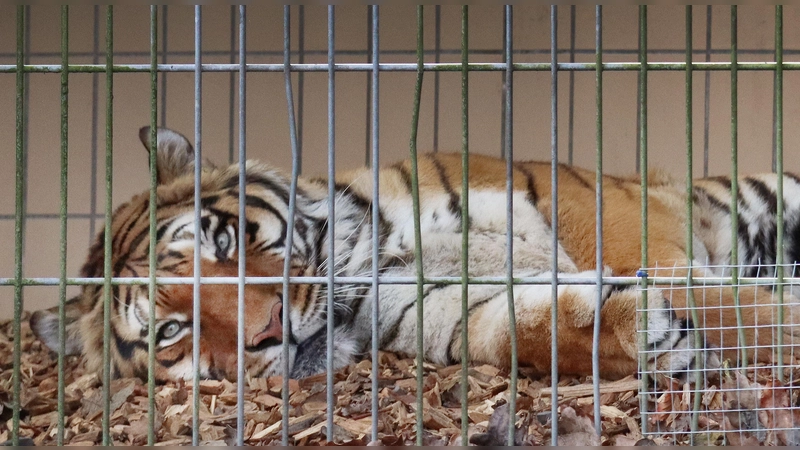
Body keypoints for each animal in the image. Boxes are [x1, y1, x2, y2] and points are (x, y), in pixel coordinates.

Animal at [29, 126, 800, 383]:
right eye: (170, 330)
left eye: (223, 243)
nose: (269, 333)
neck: (368, 260)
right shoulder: (443, 307)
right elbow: (519, 333)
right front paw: (634, 330)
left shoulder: (590, 209)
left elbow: (720, 301)